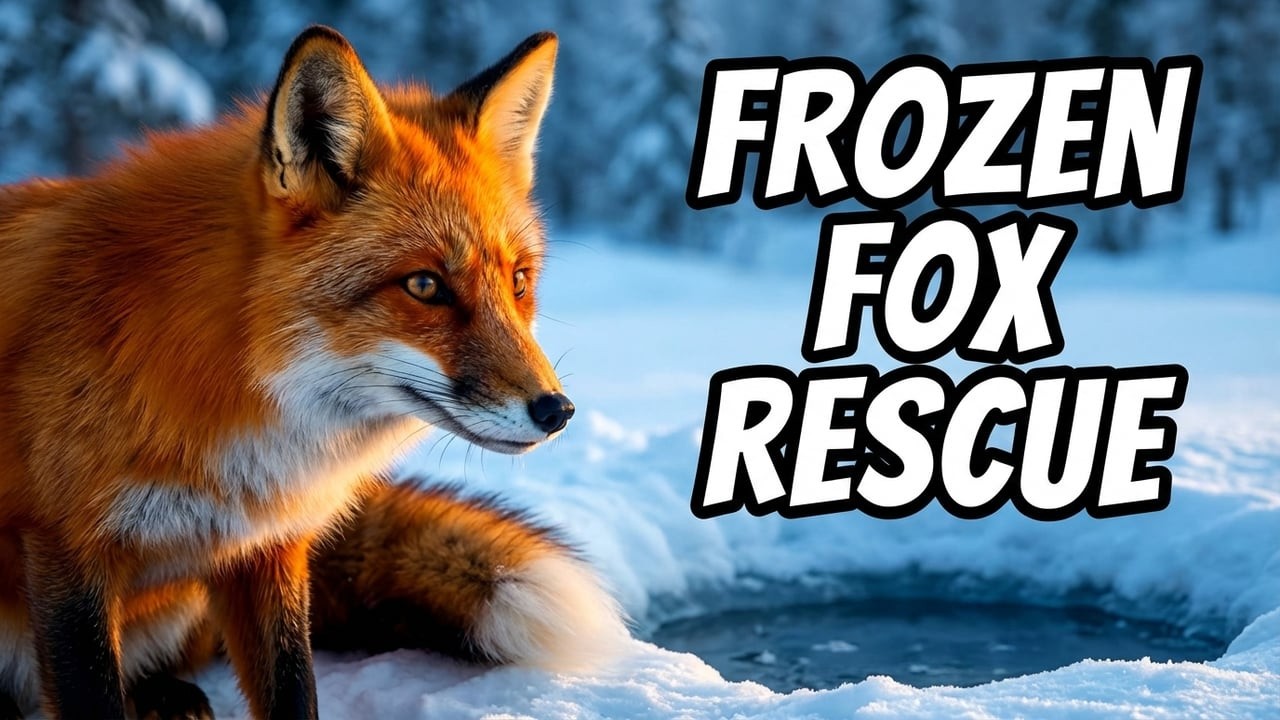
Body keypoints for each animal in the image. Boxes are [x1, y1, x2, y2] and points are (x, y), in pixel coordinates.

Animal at [0, 24, 624, 719]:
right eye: (425, 285)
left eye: (518, 281)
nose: (556, 411)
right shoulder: (64, 547)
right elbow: (94, 692)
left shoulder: (265, 549)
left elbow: (294, 685)